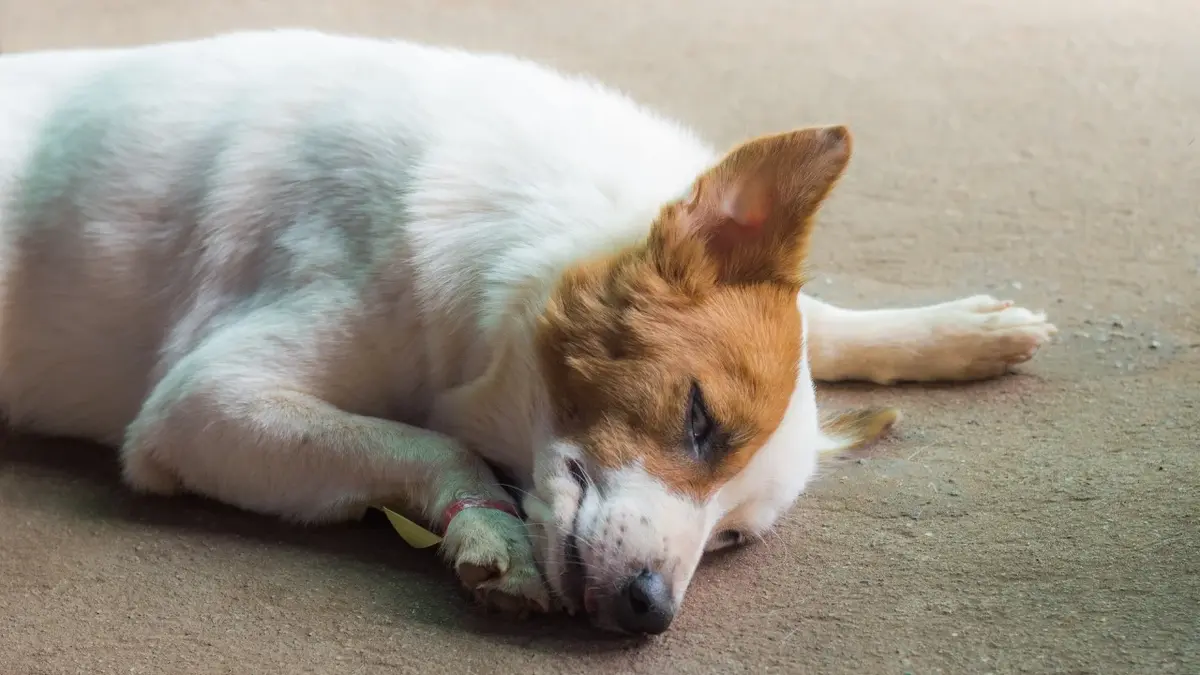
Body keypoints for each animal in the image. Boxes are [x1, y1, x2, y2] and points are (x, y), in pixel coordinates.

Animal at [0, 30, 1051, 629]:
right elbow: (428, 442)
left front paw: (957, 332)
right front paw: (494, 533)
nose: (648, 613)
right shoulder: (201, 407)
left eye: (733, 540)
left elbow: (820, 320)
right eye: (699, 420)